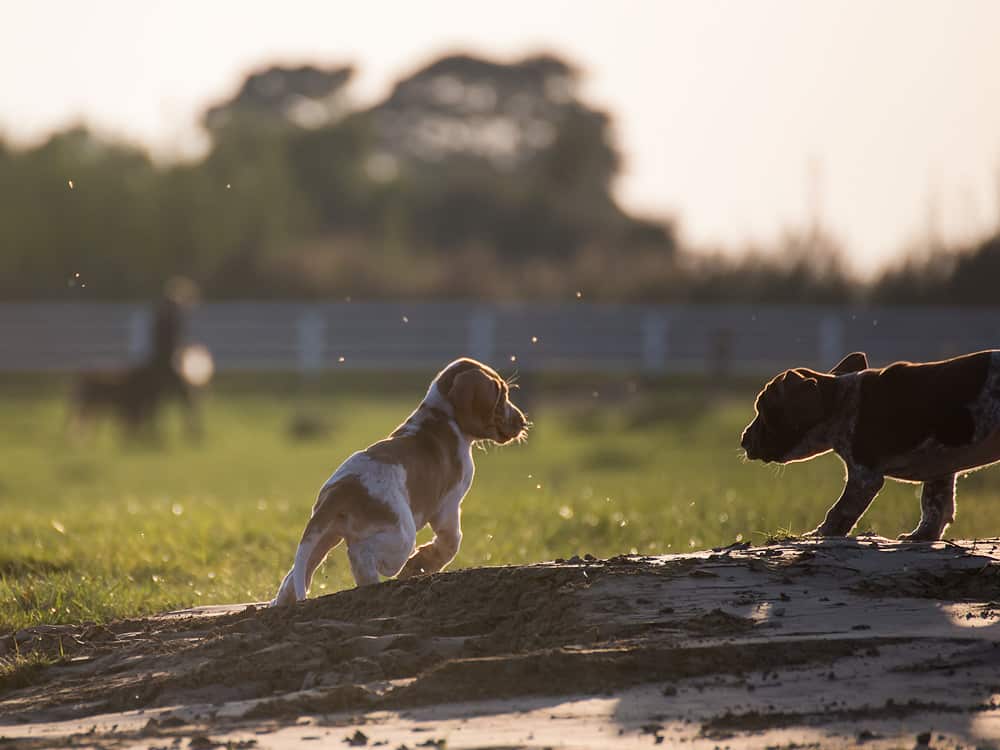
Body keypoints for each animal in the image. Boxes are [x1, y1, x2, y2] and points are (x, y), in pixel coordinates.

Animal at [270, 356, 528, 608]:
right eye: (501, 395)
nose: (523, 422)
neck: (441, 415)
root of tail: (342, 489)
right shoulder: (449, 506)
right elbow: (451, 542)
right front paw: (421, 564)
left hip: (326, 536)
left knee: (295, 576)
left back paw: (278, 602)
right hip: (401, 537)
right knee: (361, 554)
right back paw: (373, 585)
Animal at [740, 352, 1000, 540]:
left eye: (763, 409)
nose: (743, 439)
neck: (840, 400)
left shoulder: (864, 477)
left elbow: (840, 511)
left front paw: (820, 533)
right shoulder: (940, 468)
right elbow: (934, 506)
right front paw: (921, 535)